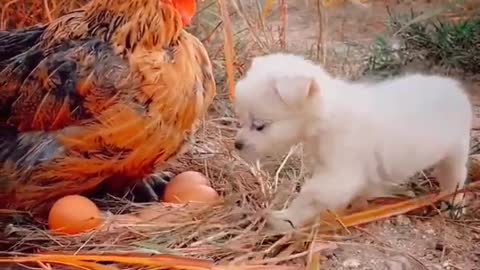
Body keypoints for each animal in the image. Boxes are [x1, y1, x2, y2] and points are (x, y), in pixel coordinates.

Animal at [232, 53, 472, 232]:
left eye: (260, 125)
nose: (237, 145)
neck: (329, 114)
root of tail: (455, 89)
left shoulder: (341, 174)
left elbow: (309, 195)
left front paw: (284, 219)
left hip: (456, 151)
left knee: (455, 178)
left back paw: (454, 204)